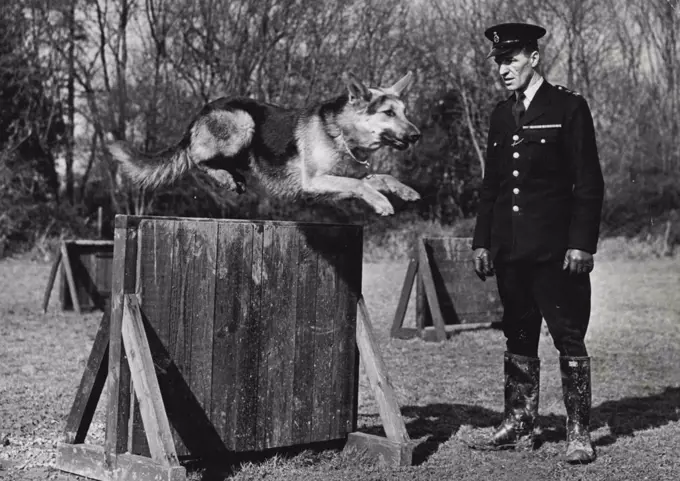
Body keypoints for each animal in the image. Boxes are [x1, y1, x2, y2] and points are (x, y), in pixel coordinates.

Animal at [107, 71, 420, 214]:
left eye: (405, 112)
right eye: (388, 113)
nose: (417, 136)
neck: (341, 133)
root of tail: (200, 113)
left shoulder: (329, 187)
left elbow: (377, 178)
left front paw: (403, 191)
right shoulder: (315, 181)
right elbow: (360, 184)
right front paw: (381, 202)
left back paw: (233, 177)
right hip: (243, 123)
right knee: (198, 158)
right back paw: (225, 178)